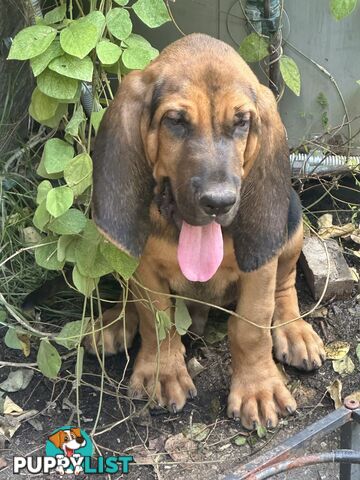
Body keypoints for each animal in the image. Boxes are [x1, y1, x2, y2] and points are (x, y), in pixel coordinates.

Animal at [86, 32, 324, 428]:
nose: (219, 202)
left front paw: (258, 389)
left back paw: (294, 330)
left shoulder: (259, 269)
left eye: (242, 122)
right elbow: (157, 320)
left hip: (290, 224)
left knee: (286, 283)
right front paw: (162, 373)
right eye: (176, 121)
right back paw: (116, 321)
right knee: (130, 297)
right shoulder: (145, 269)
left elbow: (251, 327)